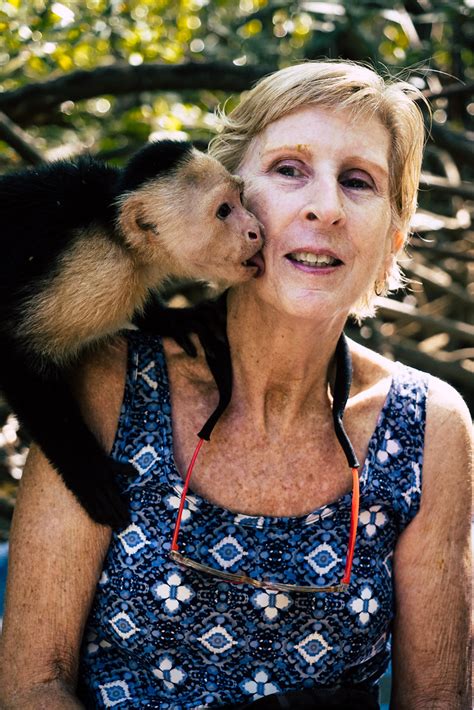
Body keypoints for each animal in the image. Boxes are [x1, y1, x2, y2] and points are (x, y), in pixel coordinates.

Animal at [0, 140, 262, 528]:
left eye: (242, 198)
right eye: (224, 211)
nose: (256, 230)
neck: (117, 236)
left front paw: (173, 319)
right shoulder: (95, 272)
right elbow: (12, 347)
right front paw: (89, 472)